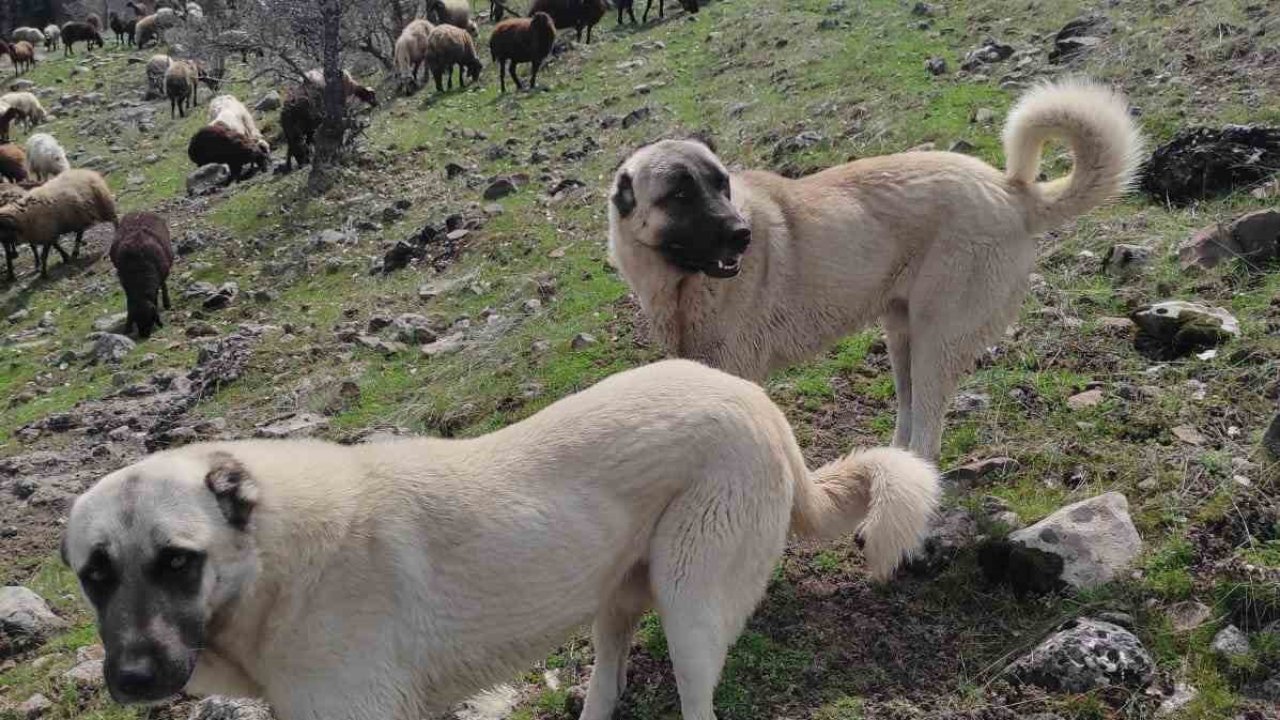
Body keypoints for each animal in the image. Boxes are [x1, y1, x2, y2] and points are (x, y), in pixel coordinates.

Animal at [62, 358, 942, 717]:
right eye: (94, 575)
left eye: (178, 561)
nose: (131, 679)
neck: (275, 565)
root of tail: (759, 403)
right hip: (615, 592)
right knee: (609, 676)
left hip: (690, 609)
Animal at [604, 79, 1146, 458]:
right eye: (679, 194)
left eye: (721, 185)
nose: (743, 234)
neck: (681, 283)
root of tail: (1010, 192)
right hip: (902, 337)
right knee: (908, 415)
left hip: (936, 339)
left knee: (928, 431)